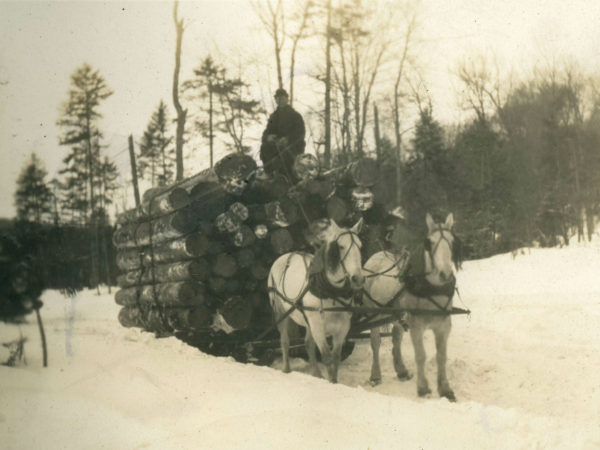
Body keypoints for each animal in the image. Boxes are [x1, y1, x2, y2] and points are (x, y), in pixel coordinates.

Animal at [268, 218, 364, 384]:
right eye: (341, 246)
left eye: (360, 245)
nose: (357, 278)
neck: (330, 292)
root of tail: (286, 255)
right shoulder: (318, 325)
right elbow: (327, 357)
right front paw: (331, 383)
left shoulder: (343, 327)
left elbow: (336, 358)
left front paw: (334, 381)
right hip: (281, 312)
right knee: (285, 341)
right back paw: (287, 370)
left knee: (308, 344)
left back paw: (316, 374)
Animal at [360, 214, 460, 400]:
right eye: (430, 242)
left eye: (452, 241)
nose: (445, 274)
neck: (430, 288)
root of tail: (376, 255)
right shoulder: (416, 325)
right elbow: (421, 355)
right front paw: (423, 388)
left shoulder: (444, 325)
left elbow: (441, 356)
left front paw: (445, 389)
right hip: (374, 313)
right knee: (375, 342)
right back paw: (375, 375)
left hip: (397, 315)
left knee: (396, 338)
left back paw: (401, 370)